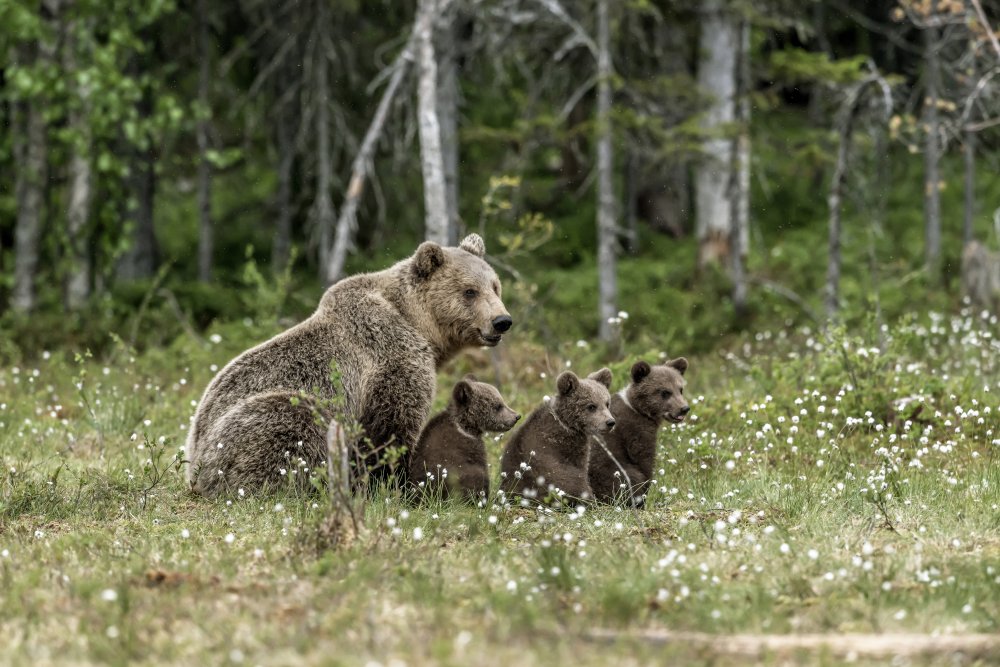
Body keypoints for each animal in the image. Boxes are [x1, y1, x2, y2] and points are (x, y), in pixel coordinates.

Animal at [185, 233, 511, 497]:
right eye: (469, 291)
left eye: (495, 286)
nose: (502, 321)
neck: (420, 325)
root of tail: (194, 466)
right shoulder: (391, 355)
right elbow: (392, 425)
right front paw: (394, 482)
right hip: (250, 428)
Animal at [588, 358, 689, 507]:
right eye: (665, 392)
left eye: (680, 389)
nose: (684, 408)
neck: (639, 410)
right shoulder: (635, 431)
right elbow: (643, 461)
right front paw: (643, 499)